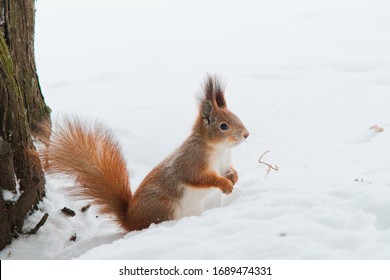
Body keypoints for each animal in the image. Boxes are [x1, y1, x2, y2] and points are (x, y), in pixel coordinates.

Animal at [43, 75, 250, 231]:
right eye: (224, 126)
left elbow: (229, 171)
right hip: (163, 207)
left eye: (236, 116)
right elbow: (200, 178)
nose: (246, 134)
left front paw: (234, 177)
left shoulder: (224, 163)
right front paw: (224, 184)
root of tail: (130, 220)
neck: (219, 150)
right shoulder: (191, 161)